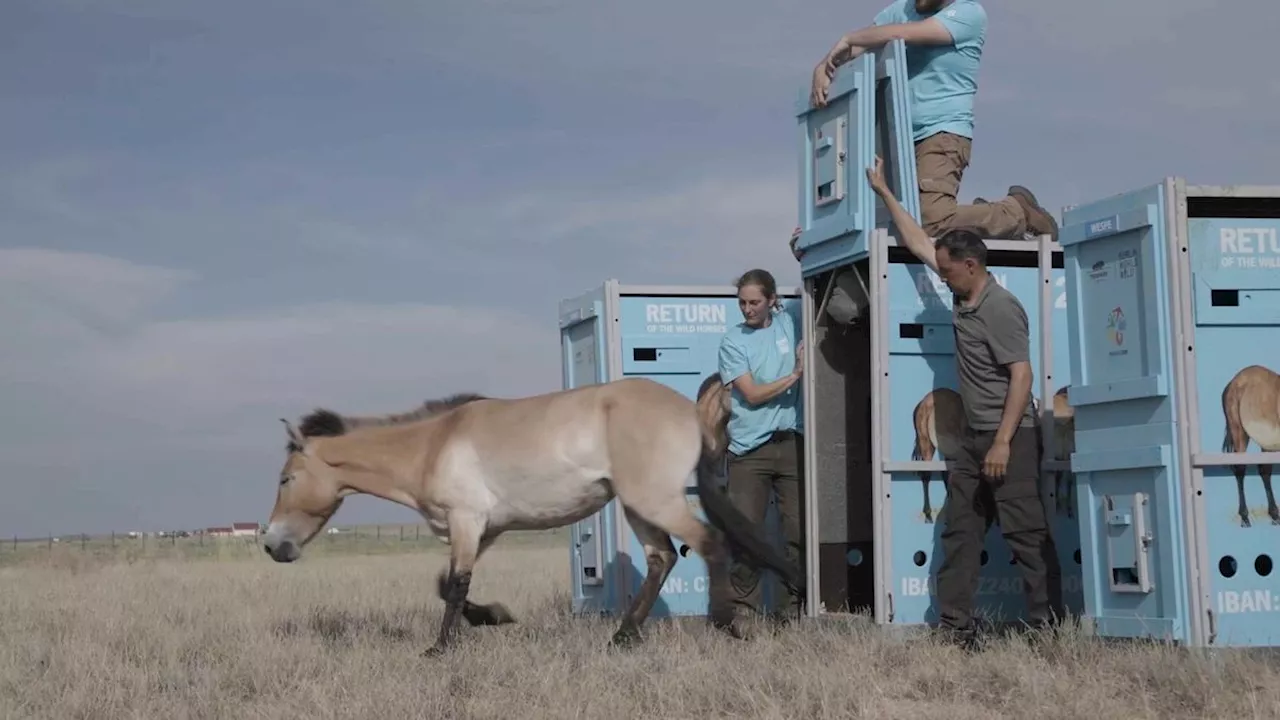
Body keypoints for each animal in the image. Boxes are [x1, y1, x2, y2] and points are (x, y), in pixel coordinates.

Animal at [262, 379, 798, 653]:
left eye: (286, 479)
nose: (271, 545)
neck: (433, 444)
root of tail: (689, 412)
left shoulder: (465, 521)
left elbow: (455, 586)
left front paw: (440, 648)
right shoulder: (484, 529)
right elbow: (449, 584)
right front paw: (495, 617)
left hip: (655, 501)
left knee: (709, 545)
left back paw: (725, 625)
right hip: (636, 506)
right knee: (661, 558)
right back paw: (622, 637)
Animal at [1218, 361, 1280, 525]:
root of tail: (1233, 382)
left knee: (1264, 470)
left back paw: (1274, 514)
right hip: (1239, 432)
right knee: (1241, 469)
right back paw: (1245, 517)